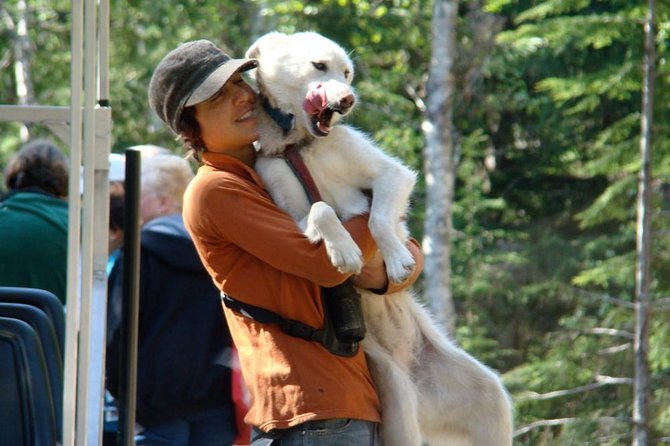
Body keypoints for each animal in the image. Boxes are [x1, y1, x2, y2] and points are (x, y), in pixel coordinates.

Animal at [247, 32, 516, 446]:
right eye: (319, 66)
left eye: (347, 73)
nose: (347, 100)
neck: (305, 146)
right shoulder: (287, 206)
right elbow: (320, 210)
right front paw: (344, 252)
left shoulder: (390, 173)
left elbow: (378, 218)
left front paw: (396, 259)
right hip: (397, 403)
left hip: (489, 399)